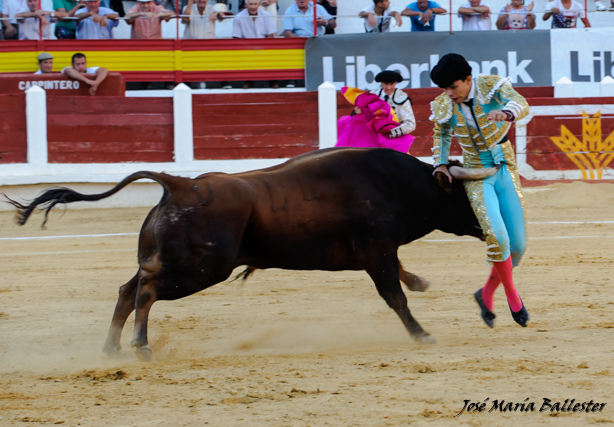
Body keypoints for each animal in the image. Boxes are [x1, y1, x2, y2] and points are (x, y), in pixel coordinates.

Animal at [7, 149, 494, 360]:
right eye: (466, 199)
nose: (489, 227)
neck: (397, 184)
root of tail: (178, 184)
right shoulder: (376, 250)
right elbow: (395, 295)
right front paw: (422, 334)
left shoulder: (377, 252)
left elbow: (402, 281)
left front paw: (421, 283)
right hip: (201, 269)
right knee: (146, 290)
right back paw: (140, 346)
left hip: (178, 263)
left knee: (129, 289)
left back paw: (111, 348)